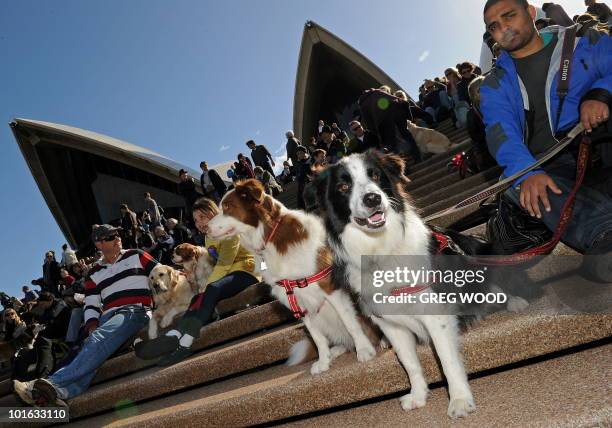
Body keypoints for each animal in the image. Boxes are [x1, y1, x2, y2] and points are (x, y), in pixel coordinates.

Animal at [208, 179, 380, 372]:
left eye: (227, 207)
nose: (206, 228)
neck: (271, 237)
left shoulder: (331, 288)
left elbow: (350, 324)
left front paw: (364, 350)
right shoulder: (297, 299)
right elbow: (317, 337)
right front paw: (324, 361)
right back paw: (337, 350)